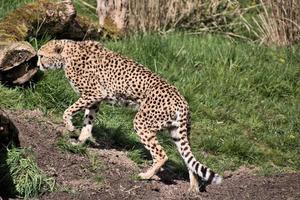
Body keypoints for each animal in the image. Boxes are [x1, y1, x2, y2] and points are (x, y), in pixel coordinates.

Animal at [36, 39, 221, 192]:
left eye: (41, 55)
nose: (37, 65)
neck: (68, 53)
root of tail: (182, 100)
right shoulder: (95, 99)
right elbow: (88, 122)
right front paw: (80, 142)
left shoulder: (94, 93)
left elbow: (68, 110)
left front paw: (69, 126)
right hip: (177, 132)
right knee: (188, 160)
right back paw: (193, 188)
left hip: (142, 122)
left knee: (161, 154)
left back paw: (146, 176)